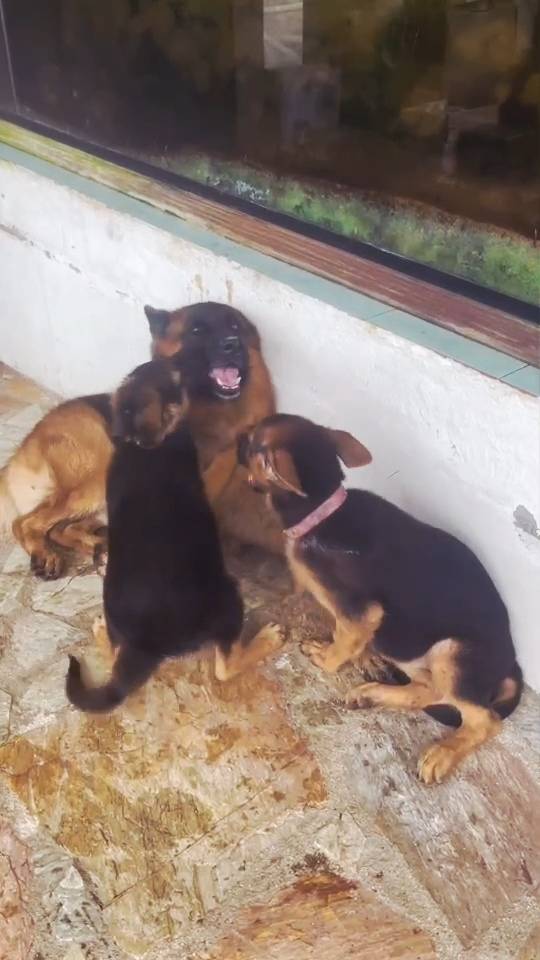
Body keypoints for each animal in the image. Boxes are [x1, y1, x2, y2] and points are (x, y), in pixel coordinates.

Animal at [0, 301, 282, 579]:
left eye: (235, 327)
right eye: (197, 331)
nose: (233, 344)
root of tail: (19, 453)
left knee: (62, 529)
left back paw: (100, 550)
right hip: (99, 470)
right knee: (25, 523)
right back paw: (47, 554)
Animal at [66, 360, 284, 712]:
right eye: (177, 379)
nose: (186, 361)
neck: (138, 443)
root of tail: (146, 644)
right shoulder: (204, 478)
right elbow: (220, 464)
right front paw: (234, 441)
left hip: (113, 611)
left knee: (114, 655)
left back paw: (101, 634)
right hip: (229, 601)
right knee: (226, 667)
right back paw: (266, 640)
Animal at [238, 413, 523, 783]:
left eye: (253, 444)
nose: (238, 435)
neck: (322, 509)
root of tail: (512, 662)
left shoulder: (361, 610)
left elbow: (343, 640)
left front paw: (326, 656)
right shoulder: (357, 617)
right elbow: (346, 633)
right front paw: (360, 656)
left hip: (452, 654)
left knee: (483, 719)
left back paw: (443, 753)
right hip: (406, 647)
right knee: (429, 691)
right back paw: (372, 694)